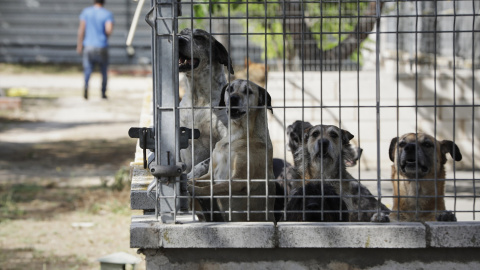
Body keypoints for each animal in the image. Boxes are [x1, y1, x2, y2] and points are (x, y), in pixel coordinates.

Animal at [188, 78, 276, 221]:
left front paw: (194, 190)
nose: (233, 98)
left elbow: (211, 188)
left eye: (248, 91)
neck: (236, 135)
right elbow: (198, 180)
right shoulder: (211, 174)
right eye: (230, 89)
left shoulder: (238, 180)